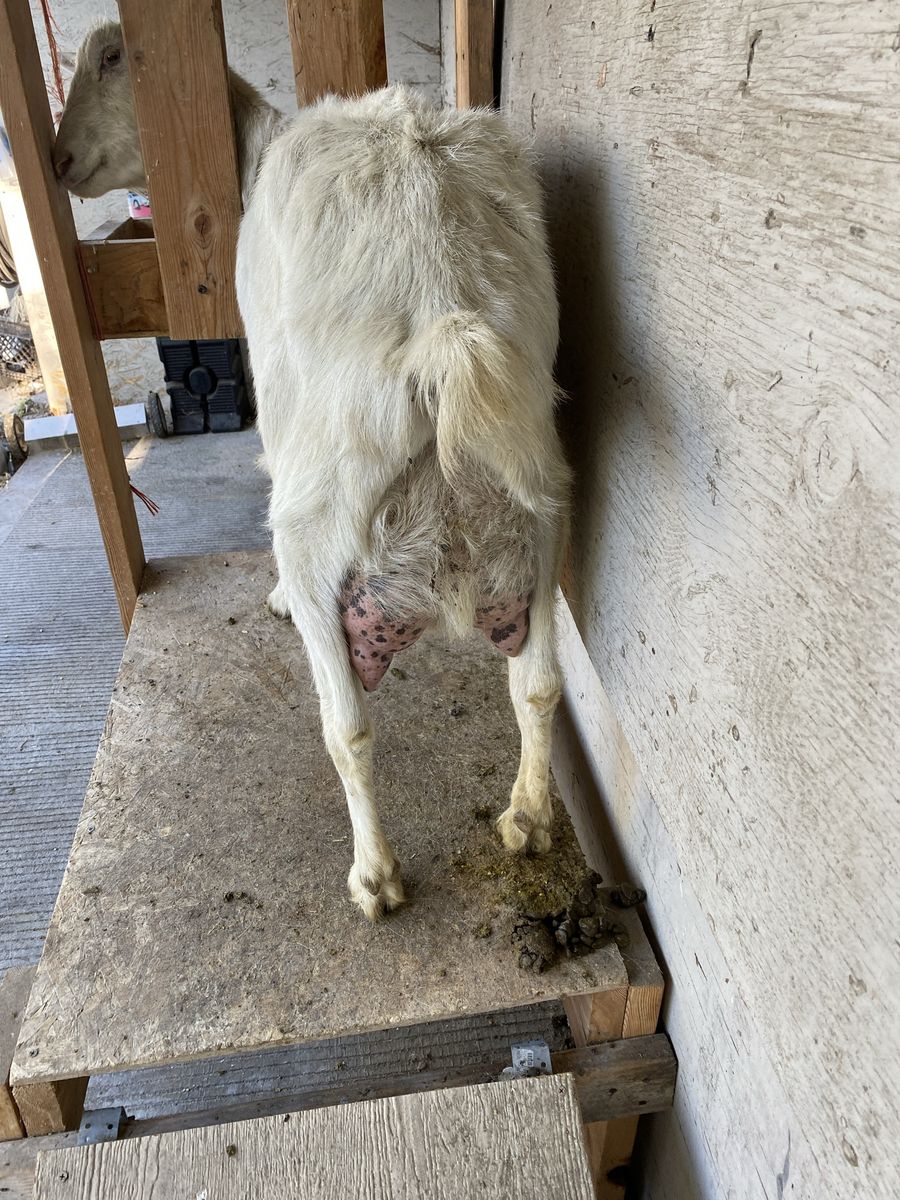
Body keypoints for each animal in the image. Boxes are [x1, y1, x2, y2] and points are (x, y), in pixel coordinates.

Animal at [55, 21, 571, 920]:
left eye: (112, 60)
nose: (58, 161)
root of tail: (444, 324)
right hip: (540, 521)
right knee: (538, 686)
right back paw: (528, 819)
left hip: (322, 531)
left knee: (350, 727)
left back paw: (376, 877)